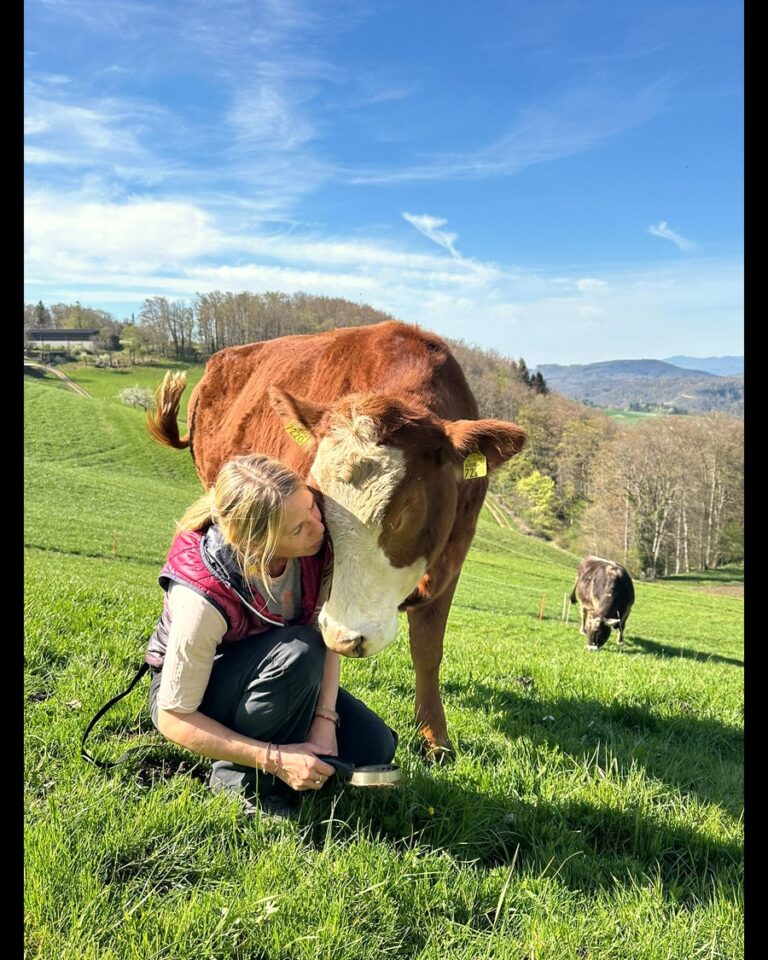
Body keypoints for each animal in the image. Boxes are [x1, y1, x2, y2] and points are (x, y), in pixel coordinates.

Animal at [147, 320, 526, 760]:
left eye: (407, 507)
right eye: (317, 499)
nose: (347, 637)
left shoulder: (452, 558)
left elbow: (428, 648)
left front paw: (435, 738)